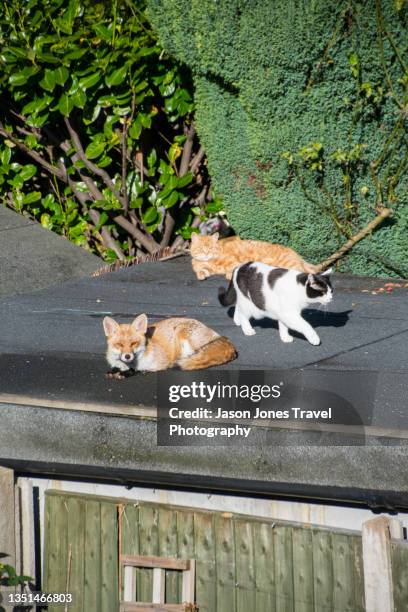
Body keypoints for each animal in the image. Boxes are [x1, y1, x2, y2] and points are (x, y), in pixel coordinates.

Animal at [102, 316, 237, 378]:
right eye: (119, 344)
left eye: (133, 343)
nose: (127, 356)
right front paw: (114, 371)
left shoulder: (162, 362)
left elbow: (140, 369)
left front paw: (128, 372)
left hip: (181, 332)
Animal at [190, 233, 320, 280]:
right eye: (201, 248)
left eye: (211, 248)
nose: (206, 253)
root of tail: (297, 254)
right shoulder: (206, 268)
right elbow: (201, 271)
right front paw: (201, 274)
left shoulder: (234, 262)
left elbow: (230, 270)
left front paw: (228, 275)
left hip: (288, 264)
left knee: (304, 272)